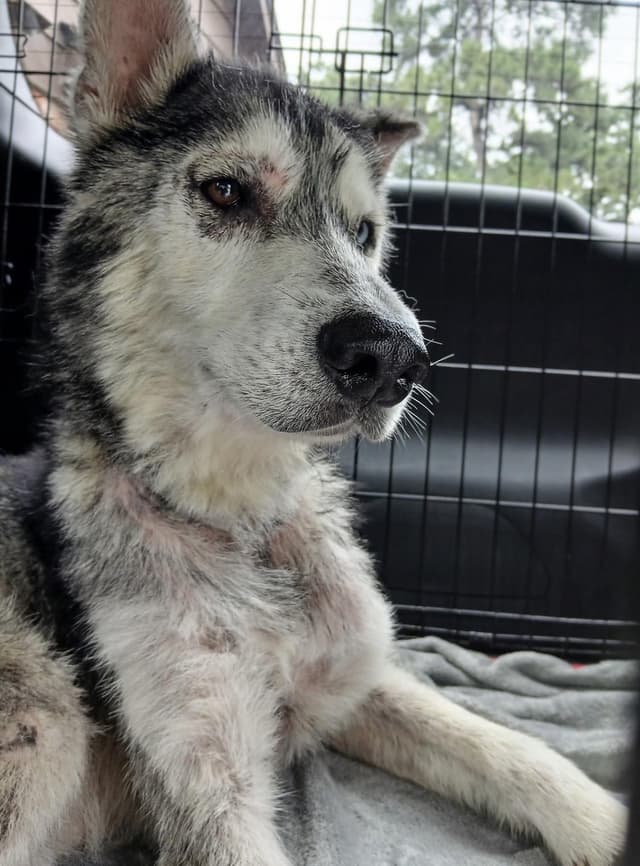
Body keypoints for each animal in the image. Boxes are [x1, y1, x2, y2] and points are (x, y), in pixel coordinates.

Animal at [0, 1, 629, 865]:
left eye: (365, 234)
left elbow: (504, 746)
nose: (393, 357)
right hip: (48, 720)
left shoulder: (354, 679)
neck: (242, 520)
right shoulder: (205, 773)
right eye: (226, 190)